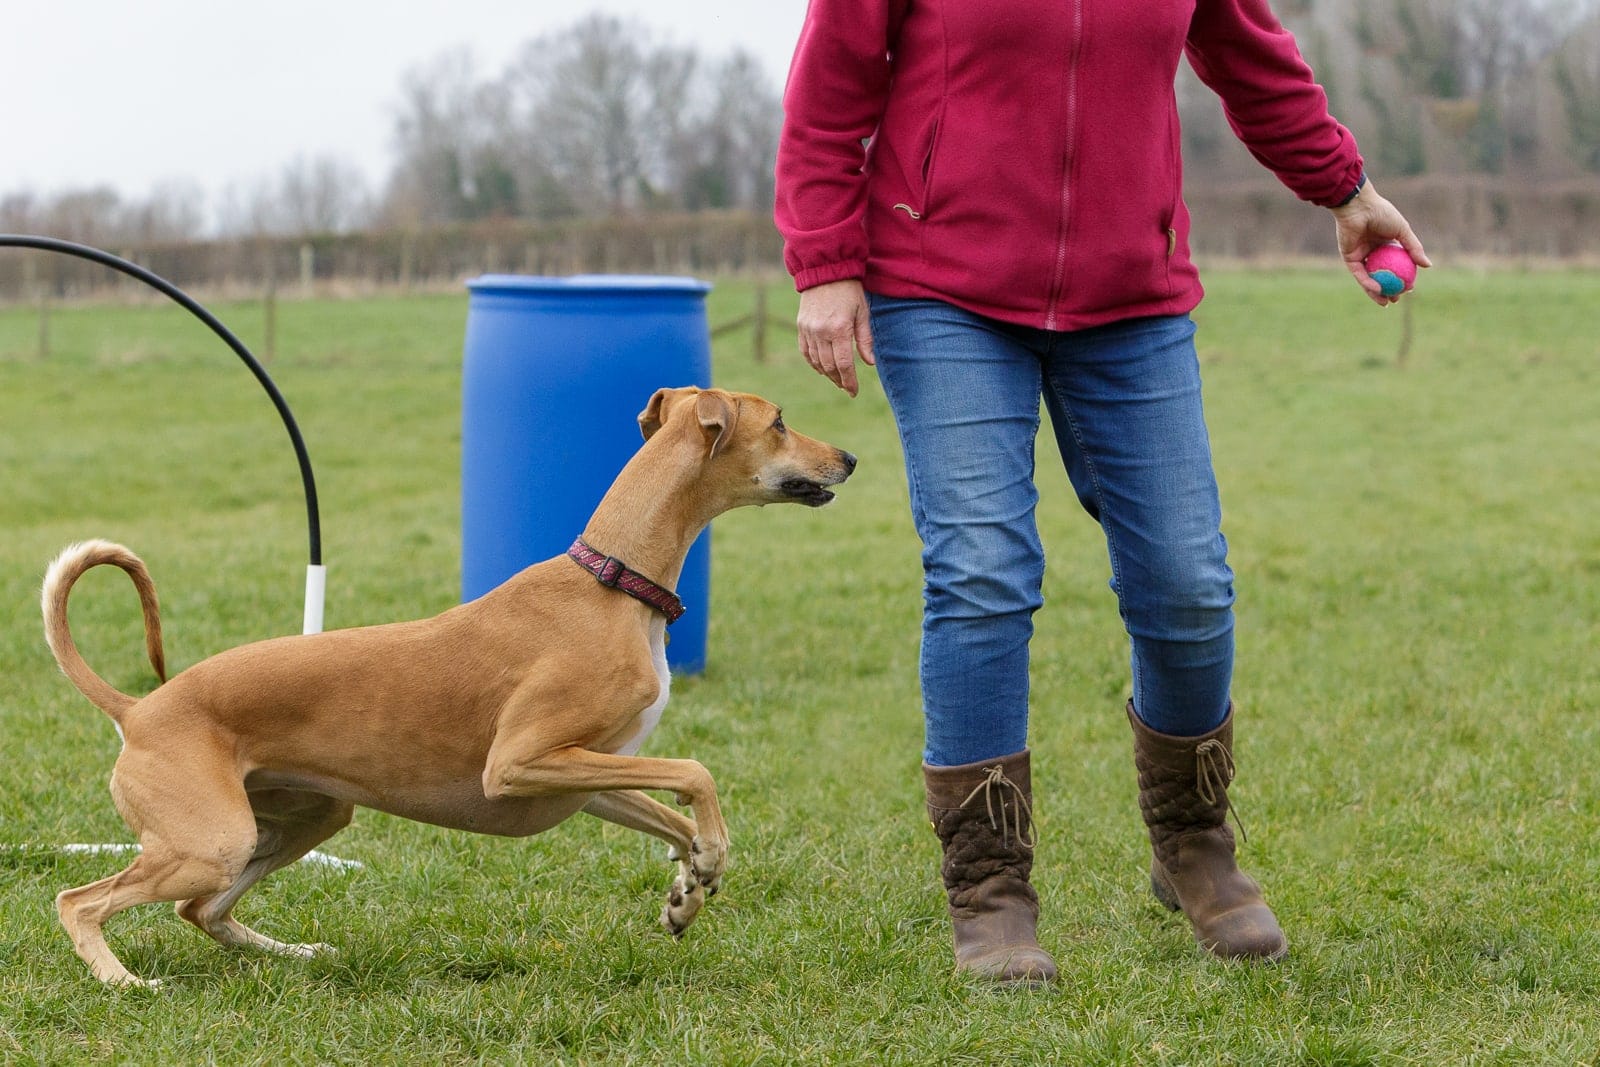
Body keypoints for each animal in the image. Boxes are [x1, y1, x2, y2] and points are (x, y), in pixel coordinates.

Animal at [43, 385, 857, 985]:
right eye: (780, 422)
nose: (849, 457)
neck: (612, 583)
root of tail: (139, 708)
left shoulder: (587, 775)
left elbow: (673, 815)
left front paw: (686, 893)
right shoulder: (522, 761)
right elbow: (695, 773)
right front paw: (708, 860)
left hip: (304, 819)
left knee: (202, 913)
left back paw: (296, 953)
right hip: (213, 839)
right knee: (80, 900)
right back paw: (123, 981)